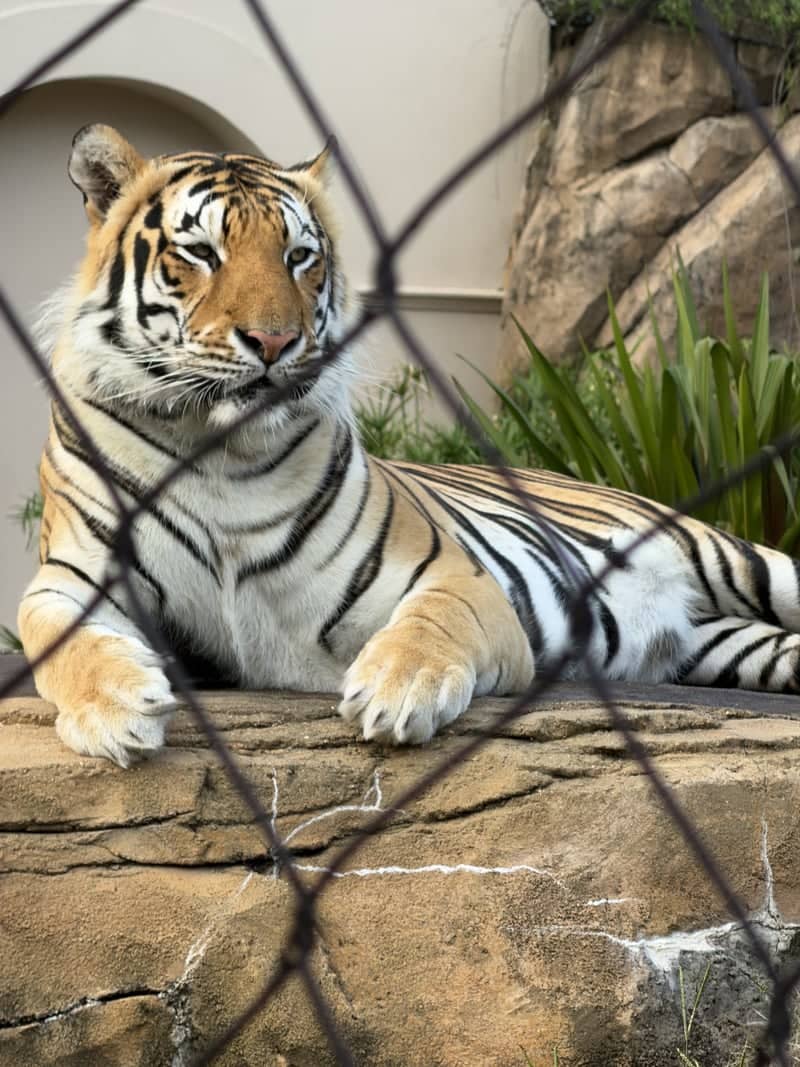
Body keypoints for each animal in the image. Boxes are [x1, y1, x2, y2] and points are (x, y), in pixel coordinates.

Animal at [17, 123, 800, 768]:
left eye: (299, 256)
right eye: (201, 252)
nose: (274, 341)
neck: (218, 453)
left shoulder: (454, 575)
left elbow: (433, 619)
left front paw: (400, 687)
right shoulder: (74, 574)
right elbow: (58, 636)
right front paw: (117, 709)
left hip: (736, 557)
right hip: (725, 644)